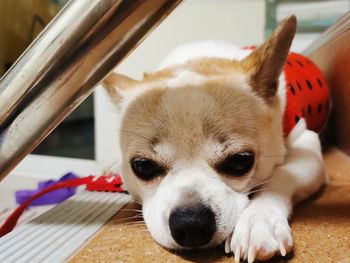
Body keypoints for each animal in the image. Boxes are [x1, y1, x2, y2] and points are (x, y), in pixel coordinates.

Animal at [103, 16, 328, 262]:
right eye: (142, 166)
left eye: (240, 161)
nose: (191, 224)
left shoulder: (306, 143)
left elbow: (281, 176)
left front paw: (259, 220)